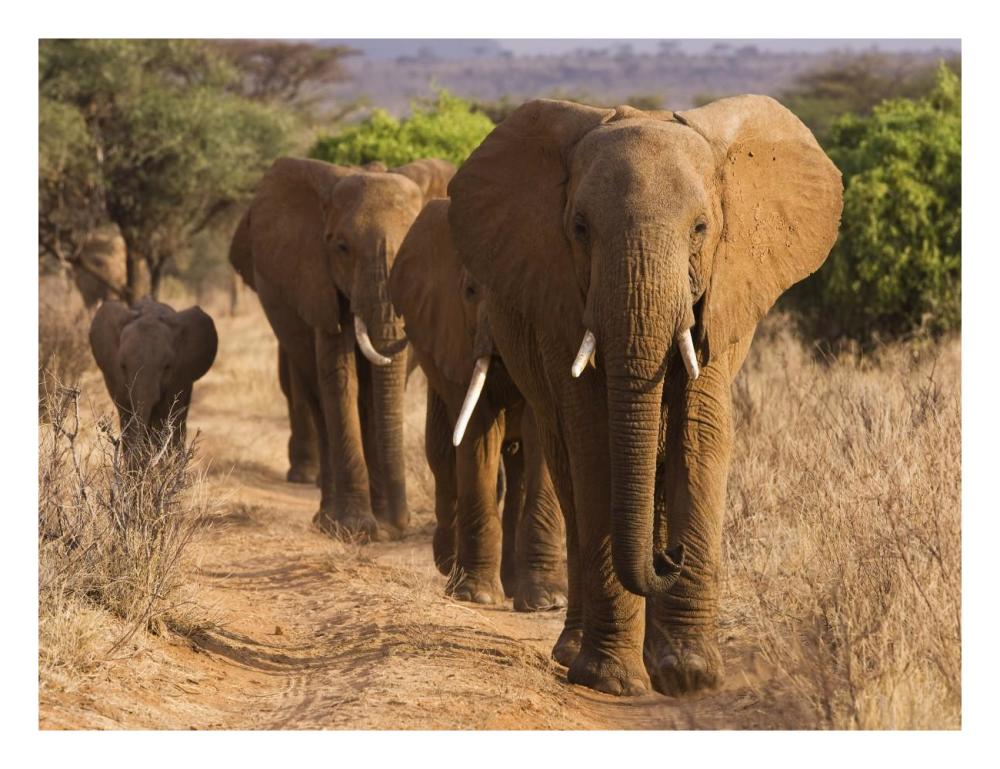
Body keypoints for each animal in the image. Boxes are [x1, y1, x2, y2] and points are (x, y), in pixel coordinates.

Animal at [89, 296, 218, 451]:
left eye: (167, 367)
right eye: (123, 366)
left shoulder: (178, 377)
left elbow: (164, 416)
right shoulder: (115, 379)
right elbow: (126, 414)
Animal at [230, 156, 455, 539]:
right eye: (342, 248)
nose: (402, 525)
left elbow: (382, 385)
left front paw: (383, 527)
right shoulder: (318, 282)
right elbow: (339, 378)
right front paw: (356, 529)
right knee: (318, 398)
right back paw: (326, 520)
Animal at [389, 198, 567, 610]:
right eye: (470, 291)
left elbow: (539, 433)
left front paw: (548, 602)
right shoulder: (453, 332)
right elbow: (476, 435)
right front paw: (476, 596)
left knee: (517, 471)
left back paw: (513, 586)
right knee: (442, 454)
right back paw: (448, 564)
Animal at [447, 96, 842, 696]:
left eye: (701, 228)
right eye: (579, 229)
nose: (671, 555)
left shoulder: (720, 297)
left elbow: (700, 437)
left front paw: (688, 677)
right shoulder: (562, 301)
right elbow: (595, 444)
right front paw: (611, 682)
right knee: (568, 472)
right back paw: (574, 653)